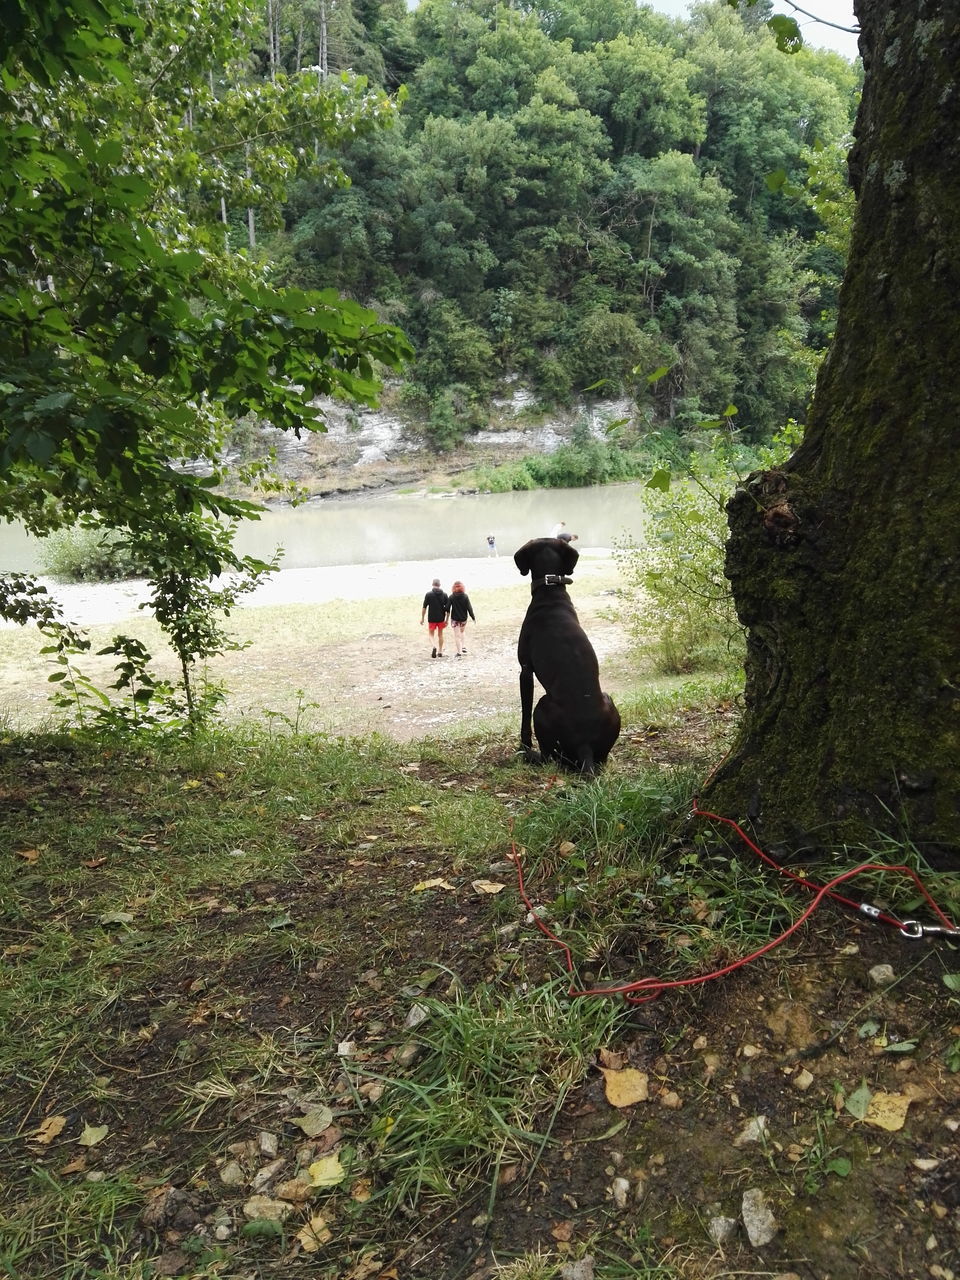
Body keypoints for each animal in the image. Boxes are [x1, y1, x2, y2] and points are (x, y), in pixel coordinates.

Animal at [514, 537, 619, 773]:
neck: (550, 589)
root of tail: (584, 745)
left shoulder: (525, 670)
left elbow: (524, 716)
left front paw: (523, 745)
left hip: (542, 706)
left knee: (548, 758)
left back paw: (530, 755)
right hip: (608, 700)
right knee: (602, 759)